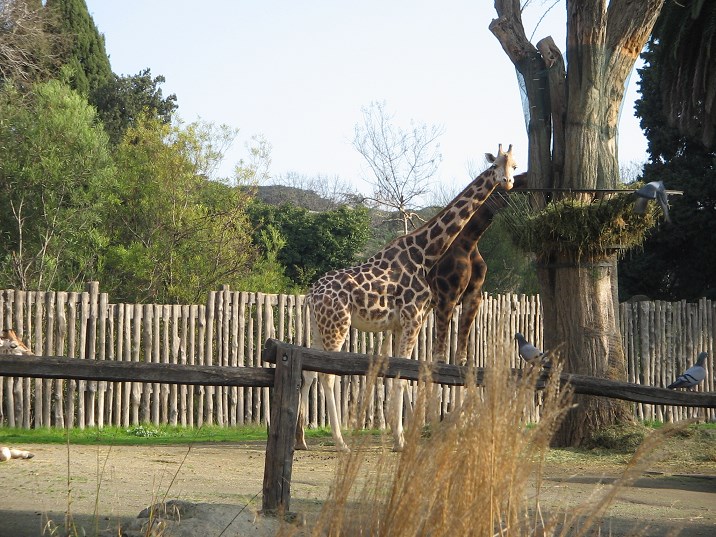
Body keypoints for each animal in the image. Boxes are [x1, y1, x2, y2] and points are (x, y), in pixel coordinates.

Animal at [296, 143, 516, 452]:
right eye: (496, 164)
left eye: (515, 165)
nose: (507, 182)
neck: (425, 253)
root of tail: (310, 295)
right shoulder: (414, 318)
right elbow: (406, 375)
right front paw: (401, 439)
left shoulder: (403, 323)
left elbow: (400, 372)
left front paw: (399, 433)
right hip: (336, 326)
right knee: (327, 376)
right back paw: (340, 442)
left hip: (319, 327)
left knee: (309, 372)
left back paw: (300, 438)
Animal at [428, 172, 528, 364]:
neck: (469, 241)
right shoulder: (447, 295)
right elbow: (442, 338)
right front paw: (439, 361)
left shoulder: (474, 295)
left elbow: (463, 337)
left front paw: (462, 361)